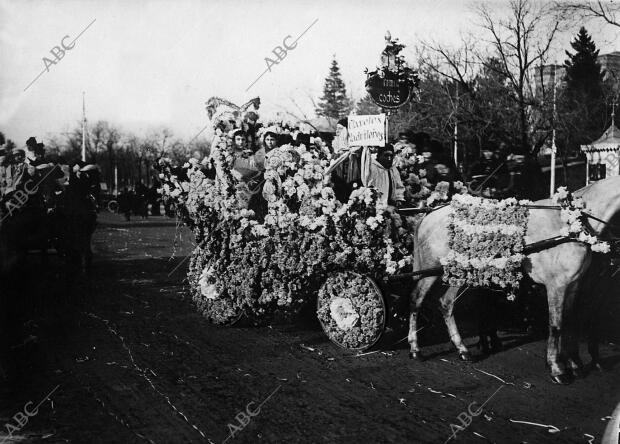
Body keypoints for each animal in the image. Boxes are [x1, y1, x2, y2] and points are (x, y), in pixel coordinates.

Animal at [406, 175, 620, 384]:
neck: (571, 223)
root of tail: (429, 214)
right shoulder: (556, 286)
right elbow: (556, 325)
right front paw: (557, 369)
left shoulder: (574, 285)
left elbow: (570, 322)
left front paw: (574, 365)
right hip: (432, 270)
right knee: (416, 300)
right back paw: (415, 349)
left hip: (463, 272)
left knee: (446, 303)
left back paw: (463, 350)